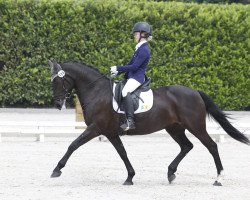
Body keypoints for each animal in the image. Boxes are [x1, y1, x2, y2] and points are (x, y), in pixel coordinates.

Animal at [47, 59, 249, 186]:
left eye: (58, 81)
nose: (57, 104)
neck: (97, 91)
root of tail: (195, 92)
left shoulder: (96, 128)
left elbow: (73, 145)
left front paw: (56, 169)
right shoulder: (110, 132)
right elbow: (122, 153)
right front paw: (130, 177)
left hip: (195, 126)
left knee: (211, 146)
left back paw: (219, 179)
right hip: (174, 128)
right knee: (186, 146)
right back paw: (171, 173)